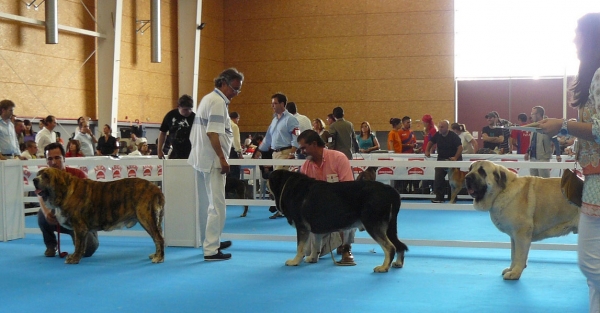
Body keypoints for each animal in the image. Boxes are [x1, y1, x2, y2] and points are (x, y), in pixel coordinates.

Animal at [32, 167, 164, 262]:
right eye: (38, 174)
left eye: (46, 176)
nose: (34, 180)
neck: (65, 190)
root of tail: (156, 189)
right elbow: (81, 245)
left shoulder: (79, 227)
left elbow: (79, 244)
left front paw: (74, 258)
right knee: (156, 238)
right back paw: (155, 255)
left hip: (146, 218)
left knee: (159, 238)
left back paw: (159, 258)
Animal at [268, 169, 408, 272]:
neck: (289, 187)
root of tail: (389, 190)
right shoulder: (314, 229)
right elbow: (315, 245)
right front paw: (312, 258)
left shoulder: (301, 227)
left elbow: (300, 247)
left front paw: (295, 261)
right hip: (389, 228)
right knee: (399, 245)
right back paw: (398, 263)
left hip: (373, 224)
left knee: (390, 247)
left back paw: (383, 267)